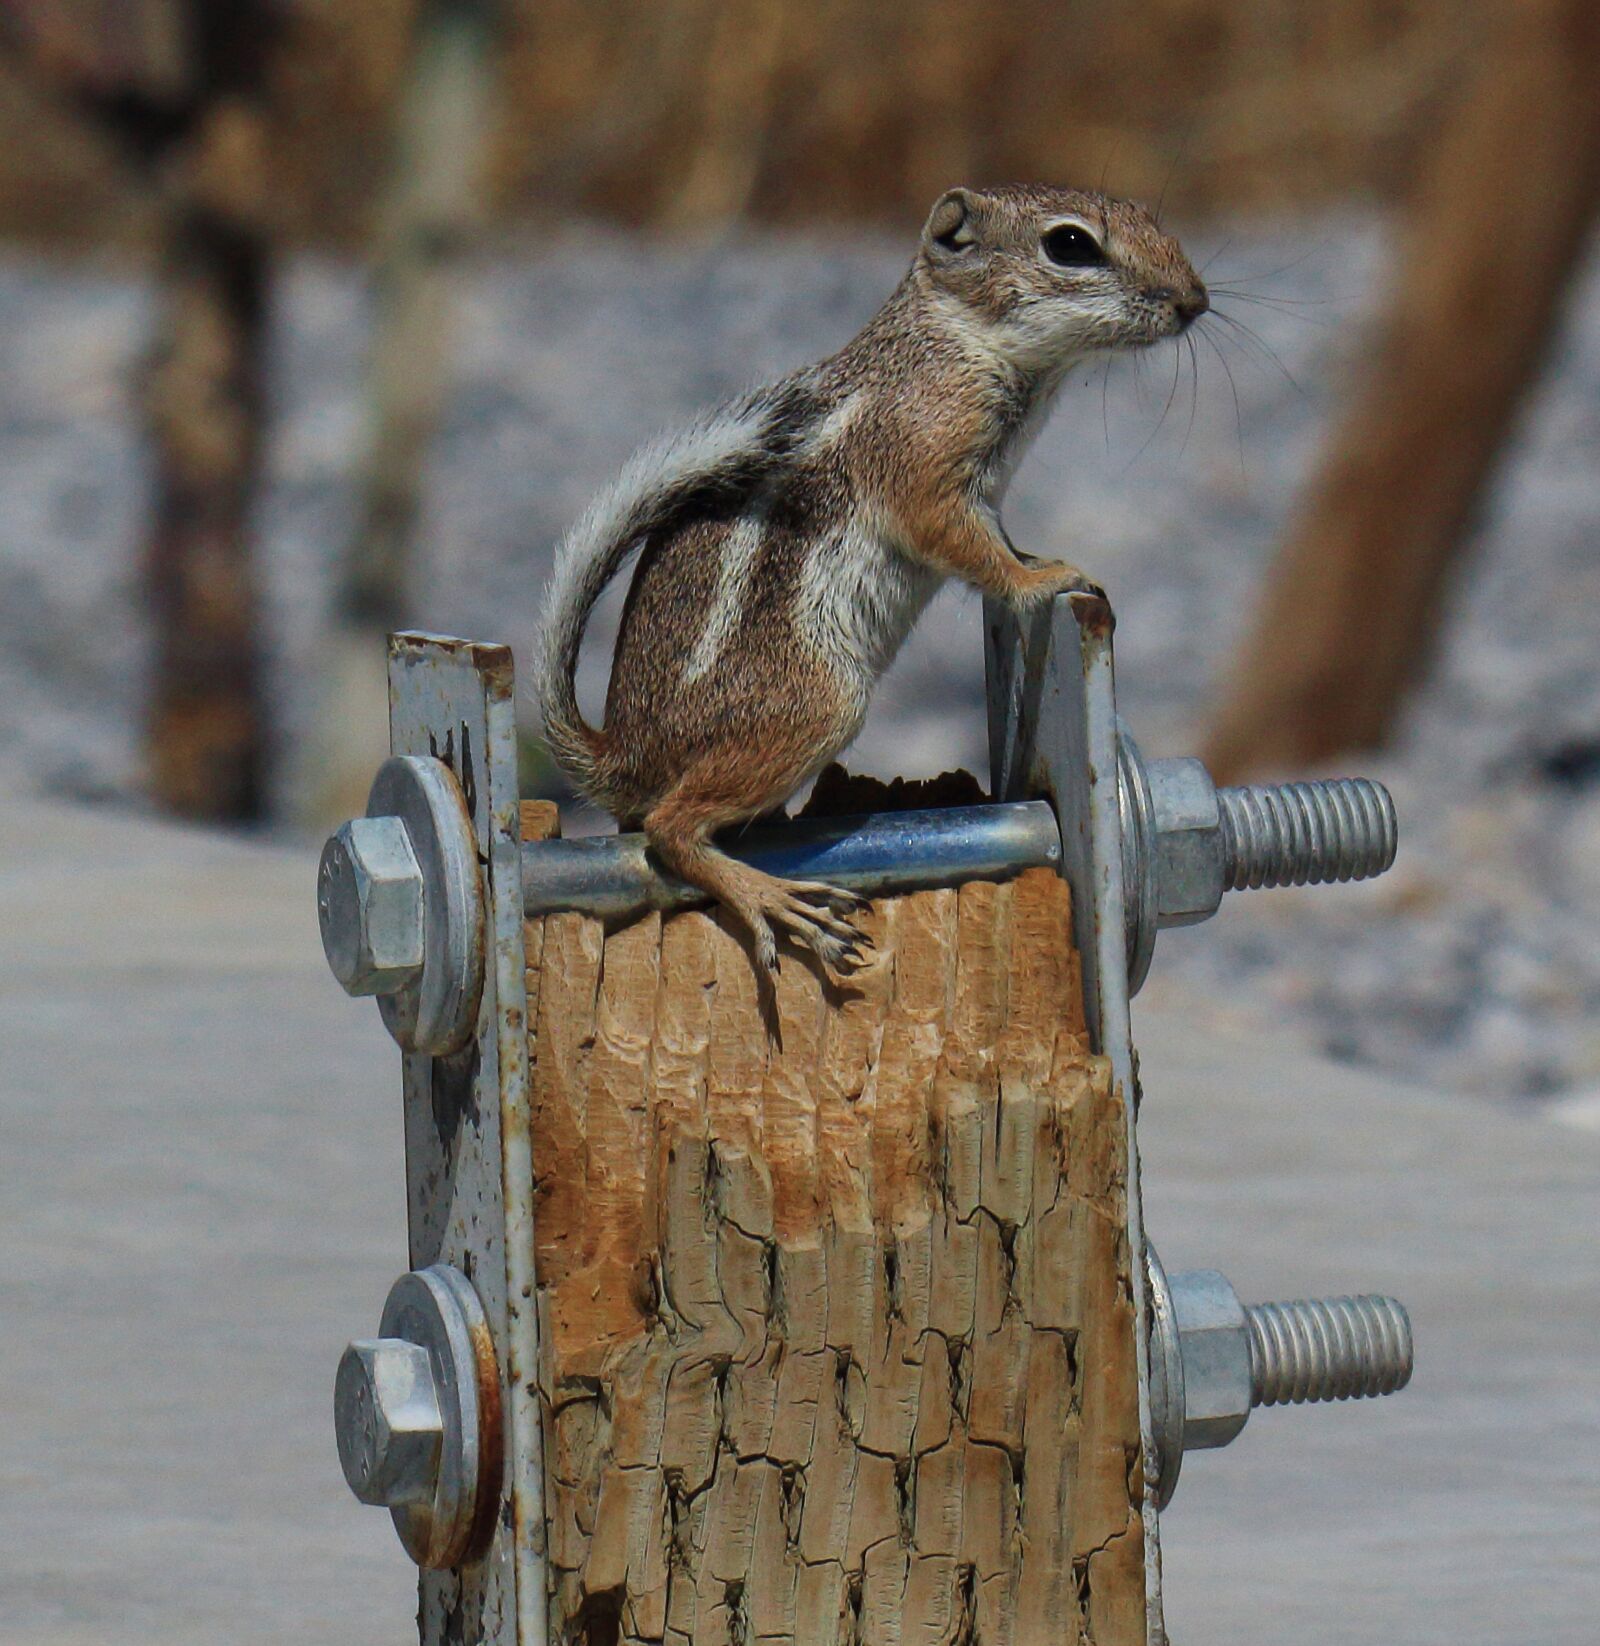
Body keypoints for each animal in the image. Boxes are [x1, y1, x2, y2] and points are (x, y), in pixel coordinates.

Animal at [538, 183, 1206, 982]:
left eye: (1150, 216)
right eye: (1070, 245)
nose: (1195, 300)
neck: (955, 338)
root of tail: (621, 756)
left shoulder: (986, 493)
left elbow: (998, 540)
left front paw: (1040, 560)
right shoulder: (926, 470)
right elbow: (970, 549)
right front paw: (1044, 579)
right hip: (816, 706)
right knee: (670, 831)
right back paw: (771, 899)